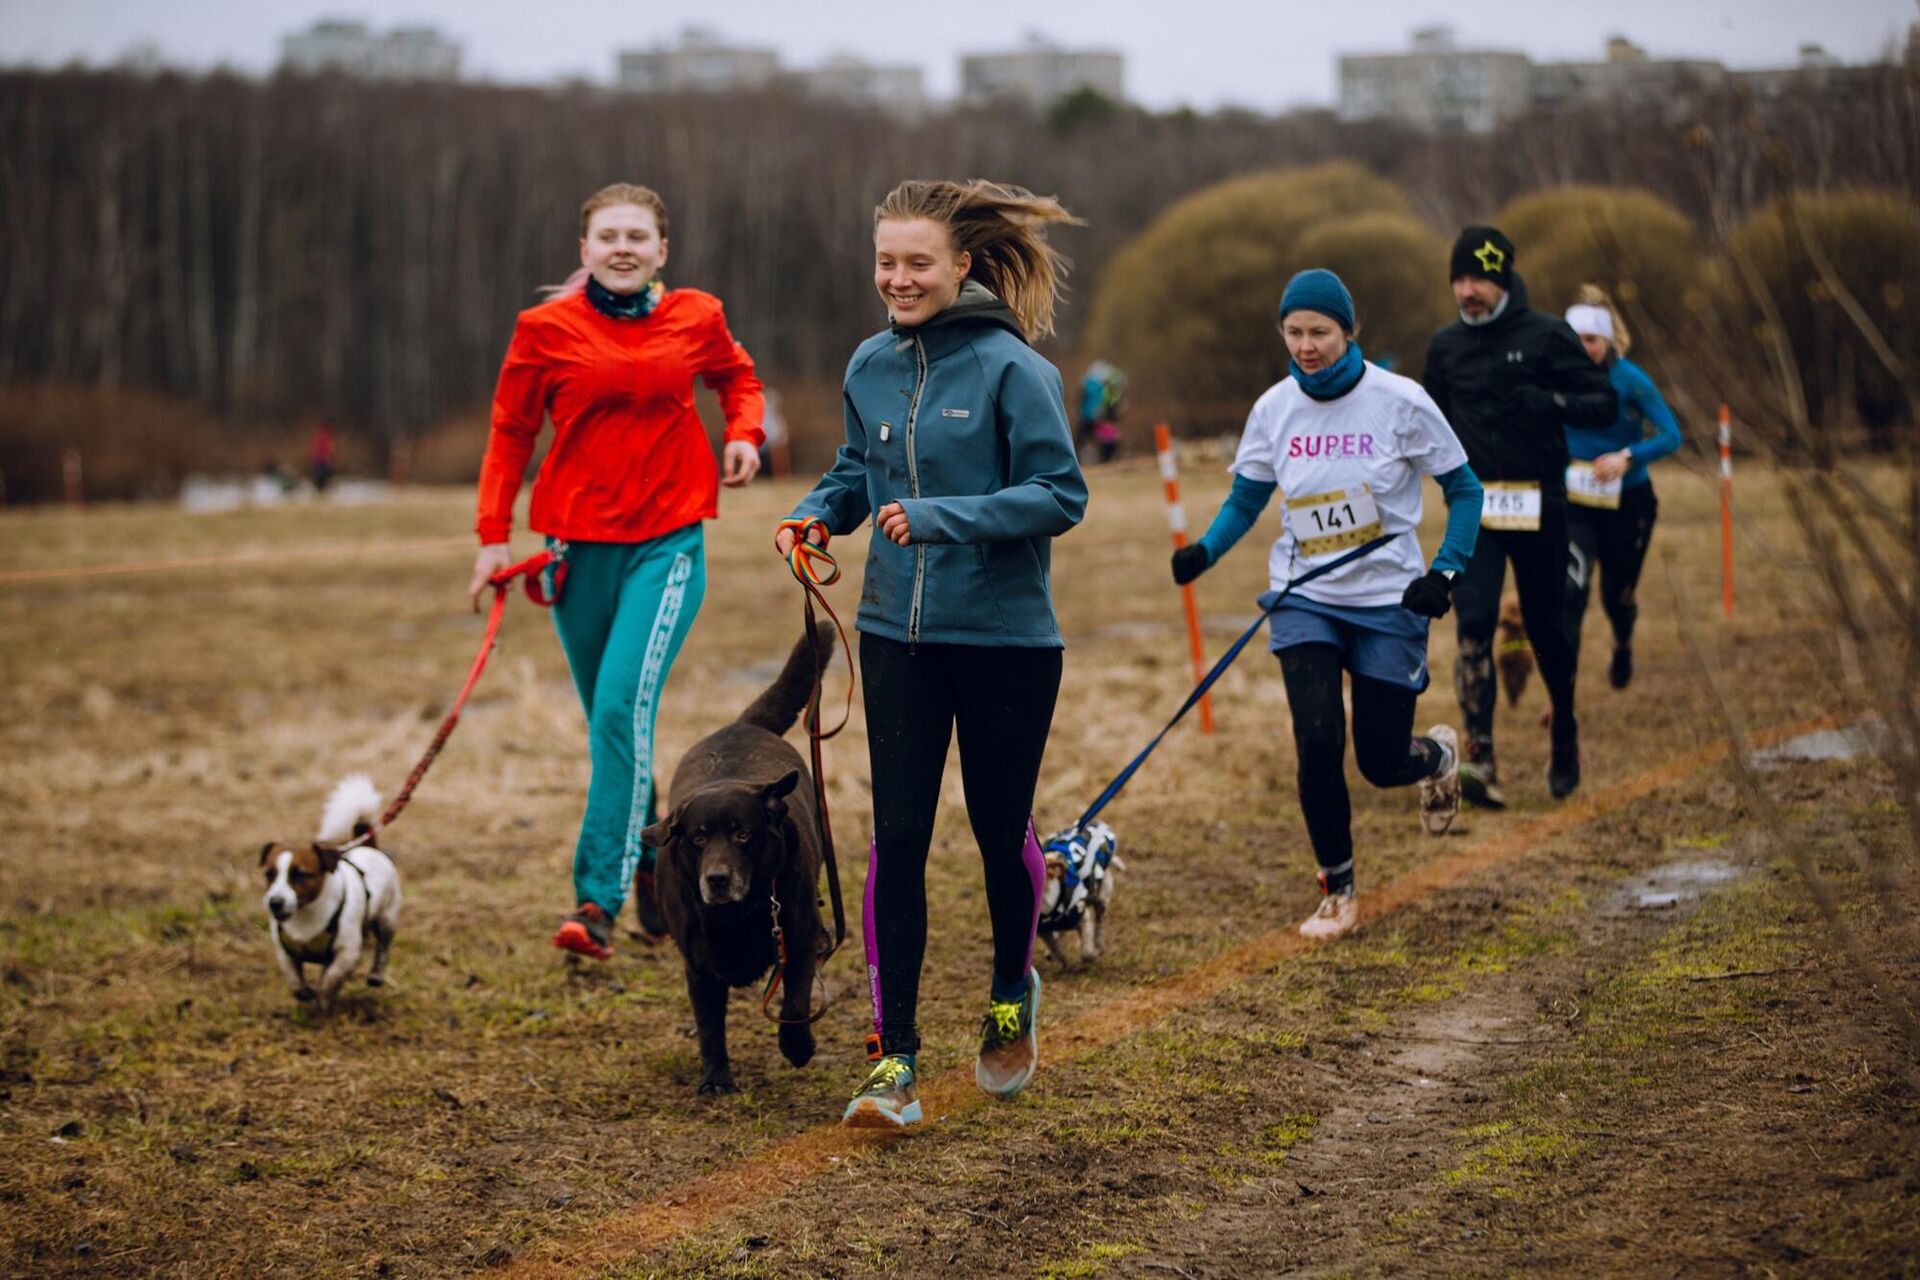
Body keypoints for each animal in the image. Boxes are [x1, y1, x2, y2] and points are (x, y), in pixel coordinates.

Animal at [641, 625, 829, 1097]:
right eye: (698, 837)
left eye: (743, 833)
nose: (717, 879)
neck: (739, 913)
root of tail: (742, 724)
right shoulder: (698, 963)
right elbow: (709, 1023)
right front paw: (715, 1078)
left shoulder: (799, 935)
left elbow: (795, 999)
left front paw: (797, 1045)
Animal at [1036, 825, 1121, 967]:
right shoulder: (1044, 932)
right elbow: (1056, 949)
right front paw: (1063, 962)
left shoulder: (1082, 916)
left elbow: (1087, 950)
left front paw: (1091, 953)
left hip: (1102, 896)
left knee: (1100, 920)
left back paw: (1098, 944)